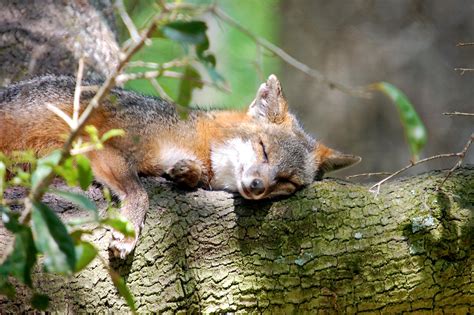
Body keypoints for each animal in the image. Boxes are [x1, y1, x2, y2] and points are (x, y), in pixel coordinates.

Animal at [0, 74, 360, 260]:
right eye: (263, 149)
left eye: (286, 182)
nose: (257, 187)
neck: (195, 139)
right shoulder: (97, 142)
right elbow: (139, 192)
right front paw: (127, 231)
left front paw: (187, 173)